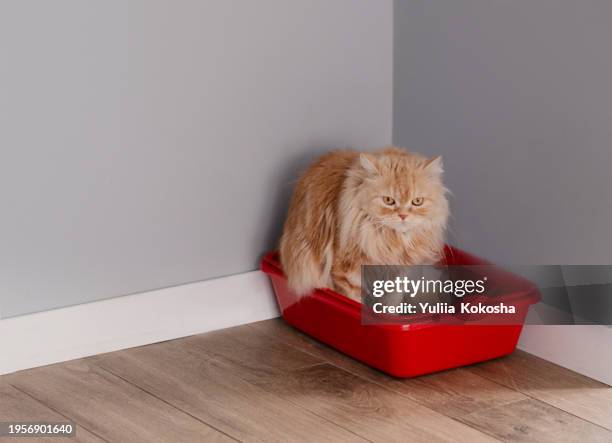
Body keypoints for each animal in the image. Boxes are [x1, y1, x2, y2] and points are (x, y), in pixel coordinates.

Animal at [280, 147, 448, 304]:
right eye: (388, 200)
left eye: (417, 201)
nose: (403, 216)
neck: (391, 242)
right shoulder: (348, 274)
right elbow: (354, 300)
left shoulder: (398, 273)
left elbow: (392, 302)